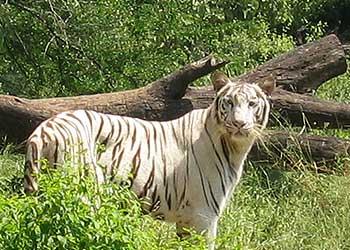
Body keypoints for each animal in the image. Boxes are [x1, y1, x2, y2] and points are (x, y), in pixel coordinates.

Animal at [25, 71, 276, 249]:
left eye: (252, 103)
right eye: (229, 102)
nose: (239, 124)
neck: (234, 148)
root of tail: (43, 130)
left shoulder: (186, 220)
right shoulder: (203, 215)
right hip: (85, 194)